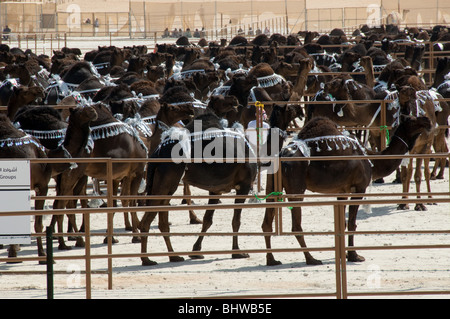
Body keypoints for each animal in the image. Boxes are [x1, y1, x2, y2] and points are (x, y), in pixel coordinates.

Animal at [264, 115, 432, 268]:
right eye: (412, 119)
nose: (428, 120)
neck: (372, 161)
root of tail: (281, 155)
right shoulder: (359, 188)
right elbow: (352, 223)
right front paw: (354, 255)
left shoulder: (342, 191)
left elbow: (342, 225)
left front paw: (345, 254)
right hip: (296, 187)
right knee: (296, 226)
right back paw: (311, 259)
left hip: (272, 185)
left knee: (266, 223)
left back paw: (272, 260)